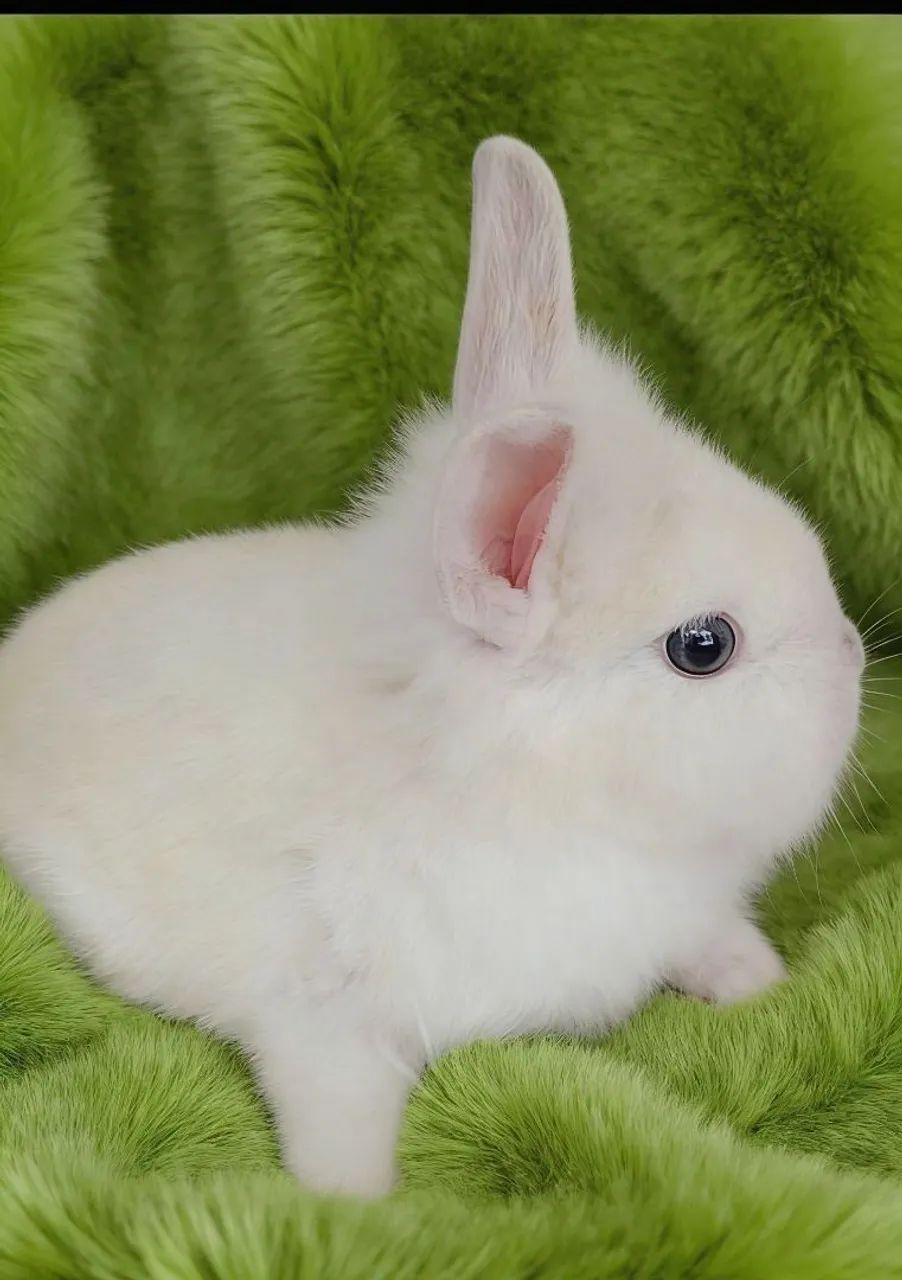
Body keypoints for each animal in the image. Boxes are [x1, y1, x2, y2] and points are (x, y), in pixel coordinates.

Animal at [0, 136, 864, 1199]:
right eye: (704, 647)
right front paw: (357, 1207)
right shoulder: (324, 1024)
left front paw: (759, 981)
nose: (854, 655)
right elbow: (337, 1118)